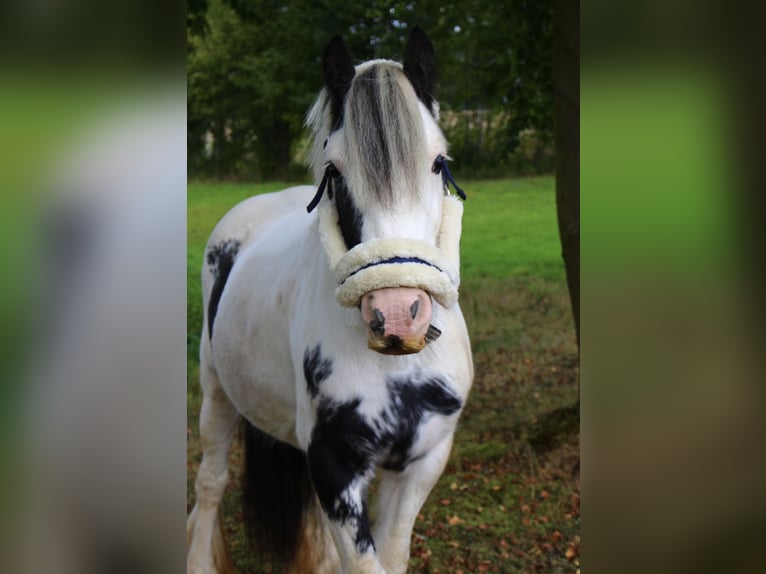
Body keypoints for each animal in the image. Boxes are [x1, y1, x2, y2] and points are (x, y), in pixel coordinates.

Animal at [186, 28, 473, 574]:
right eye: (335, 171)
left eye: (439, 163)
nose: (398, 315)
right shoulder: (335, 467)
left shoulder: (423, 461)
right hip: (216, 395)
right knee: (210, 485)